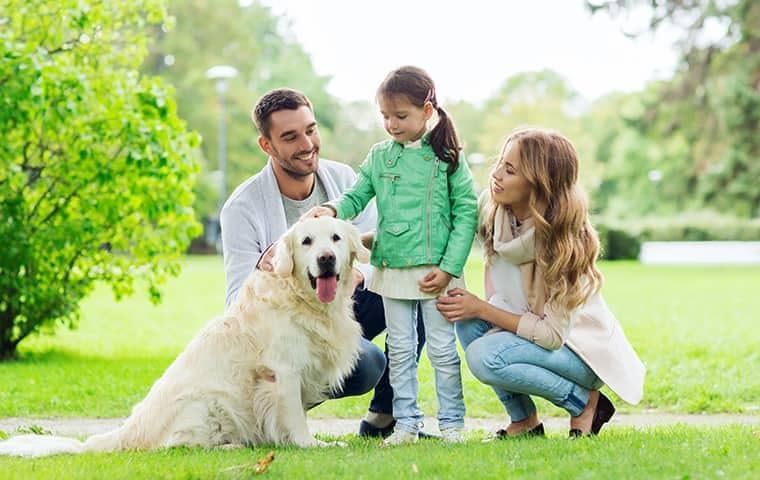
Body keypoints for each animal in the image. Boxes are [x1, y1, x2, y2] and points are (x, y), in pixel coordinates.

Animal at [0, 218, 370, 458]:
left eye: (335, 238)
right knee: (175, 445)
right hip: (206, 402)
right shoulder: (283, 372)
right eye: (306, 241)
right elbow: (294, 417)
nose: (326, 259)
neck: (304, 301)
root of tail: (128, 431)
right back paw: (232, 445)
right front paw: (311, 445)